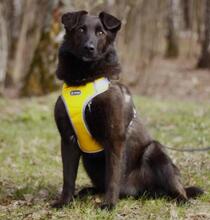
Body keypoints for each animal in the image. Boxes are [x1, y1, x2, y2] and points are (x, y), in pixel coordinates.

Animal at [51, 10, 203, 210]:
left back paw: (181, 199)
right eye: (81, 29)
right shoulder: (68, 140)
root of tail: (135, 192)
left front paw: (109, 204)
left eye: (100, 33)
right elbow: (68, 177)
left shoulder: (114, 138)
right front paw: (64, 202)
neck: (84, 80)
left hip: (155, 151)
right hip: (89, 160)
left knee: (176, 186)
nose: (89, 48)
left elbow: (113, 176)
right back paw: (89, 191)